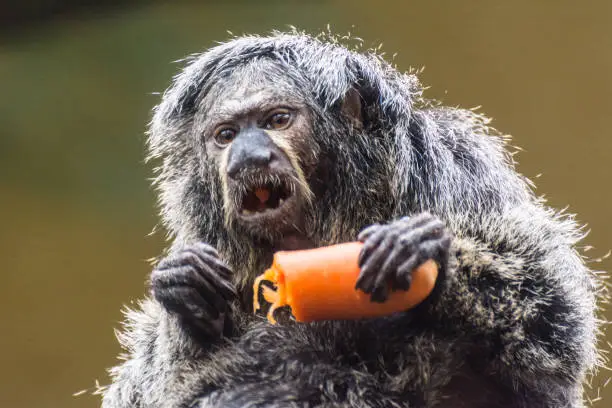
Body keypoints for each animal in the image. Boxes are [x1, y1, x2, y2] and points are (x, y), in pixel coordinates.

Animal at [99, 32, 604, 408]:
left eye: (276, 119)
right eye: (226, 135)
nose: (248, 157)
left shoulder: (458, 170)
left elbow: (549, 337)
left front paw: (420, 254)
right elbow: (147, 388)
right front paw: (187, 293)